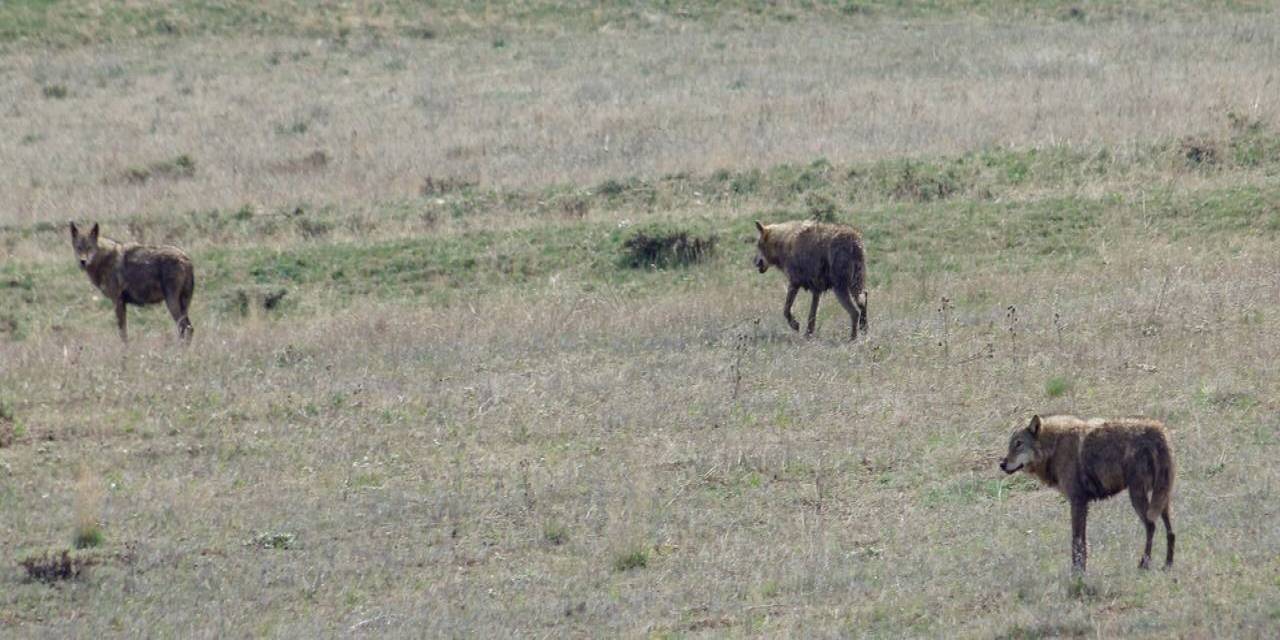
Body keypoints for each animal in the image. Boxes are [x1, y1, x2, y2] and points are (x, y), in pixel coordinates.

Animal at [998, 414, 1177, 576]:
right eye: (1011, 445)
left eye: (1019, 444)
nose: (1002, 464)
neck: (1055, 446)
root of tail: (1157, 430)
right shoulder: (1082, 504)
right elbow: (1082, 542)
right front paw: (1081, 569)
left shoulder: (1077, 501)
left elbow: (1076, 541)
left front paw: (1077, 572)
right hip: (1162, 498)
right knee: (1171, 532)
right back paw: (1168, 565)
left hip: (1138, 496)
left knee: (1151, 526)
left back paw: (1144, 564)